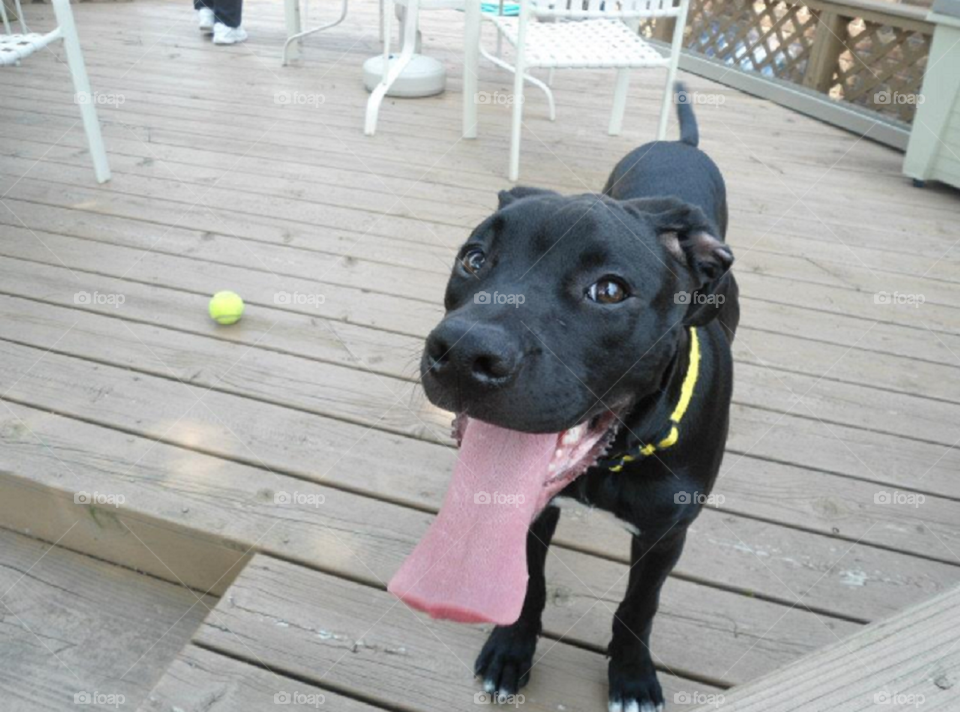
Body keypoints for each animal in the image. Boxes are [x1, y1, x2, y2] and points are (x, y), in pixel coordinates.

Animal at [418, 87, 736, 712]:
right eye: (474, 258)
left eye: (609, 290)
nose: (464, 354)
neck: (613, 458)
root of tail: (680, 144)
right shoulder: (532, 510)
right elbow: (529, 583)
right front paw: (511, 649)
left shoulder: (666, 536)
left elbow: (640, 604)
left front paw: (632, 675)